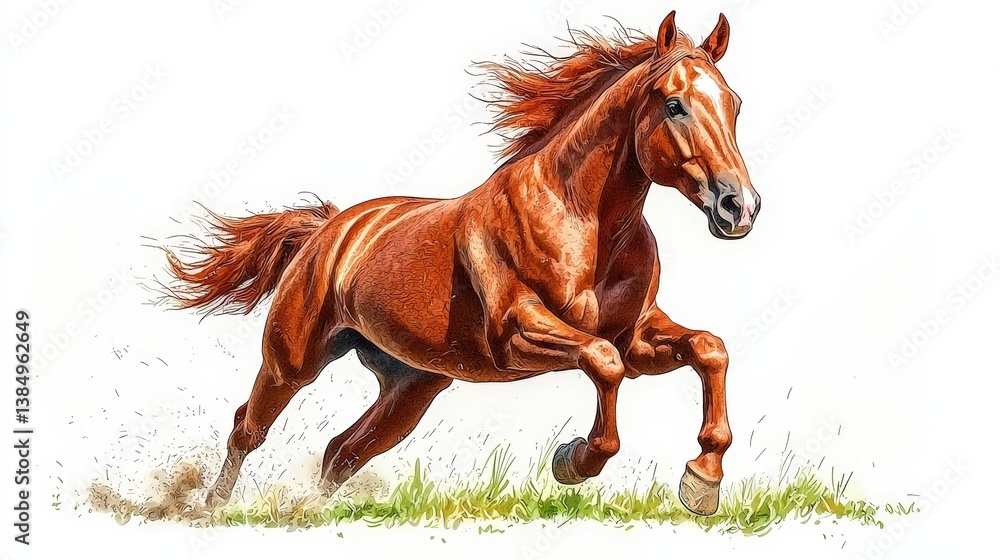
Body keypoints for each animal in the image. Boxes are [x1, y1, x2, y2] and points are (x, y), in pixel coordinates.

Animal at [163, 11, 760, 516]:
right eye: (674, 104)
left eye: (734, 104)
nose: (739, 207)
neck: (585, 224)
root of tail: (331, 229)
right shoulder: (516, 333)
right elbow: (602, 362)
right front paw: (575, 461)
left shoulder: (636, 335)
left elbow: (709, 349)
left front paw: (702, 480)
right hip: (293, 361)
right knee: (248, 428)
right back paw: (208, 511)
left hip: (412, 387)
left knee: (342, 452)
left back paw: (305, 512)